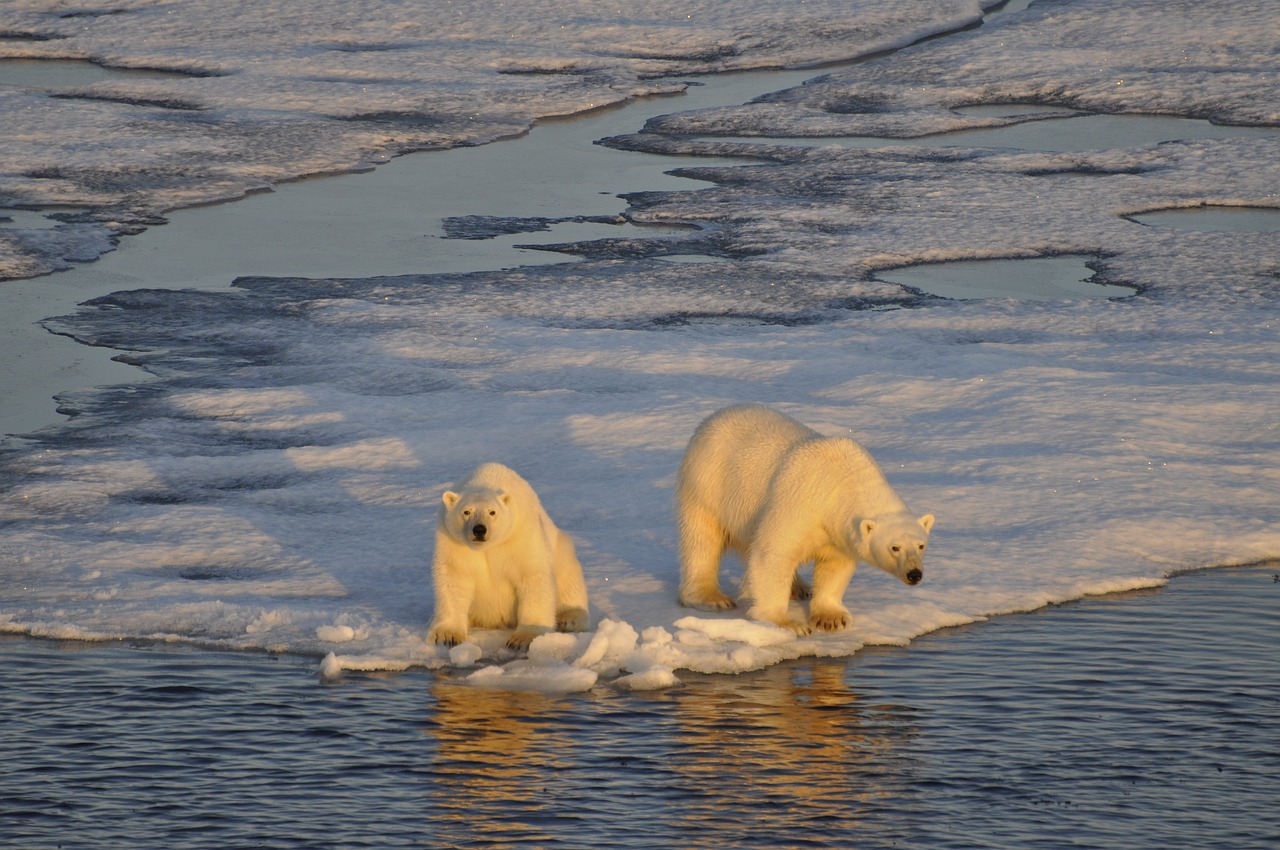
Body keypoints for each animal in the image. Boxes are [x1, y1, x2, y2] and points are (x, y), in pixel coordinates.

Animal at [427, 460, 591, 647]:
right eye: (466, 511)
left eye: (492, 512)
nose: (479, 529)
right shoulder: (453, 540)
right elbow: (454, 576)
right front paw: (447, 635)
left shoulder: (520, 533)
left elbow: (532, 575)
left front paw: (523, 639)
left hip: (562, 550)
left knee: (568, 577)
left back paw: (570, 618)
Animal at [675, 401, 936, 634]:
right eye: (894, 547)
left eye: (921, 545)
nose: (914, 574)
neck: (843, 484)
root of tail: (713, 418)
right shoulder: (801, 502)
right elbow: (774, 553)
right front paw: (788, 623)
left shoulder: (838, 532)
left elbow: (835, 565)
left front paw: (831, 618)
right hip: (709, 483)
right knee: (702, 540)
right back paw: (711, 597)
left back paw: (799, 588)